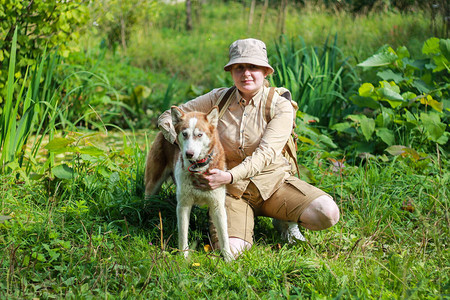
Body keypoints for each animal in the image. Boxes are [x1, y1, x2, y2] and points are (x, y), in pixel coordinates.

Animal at [145, 106, 236, 262]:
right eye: (184, 134)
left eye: (199, 135)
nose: (189, 154)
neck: (198, 168)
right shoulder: (183, 205)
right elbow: (183, 234)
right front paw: (183, 256)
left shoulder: (218, 206)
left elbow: (224, 235)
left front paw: (228, 257)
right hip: (153, 185)